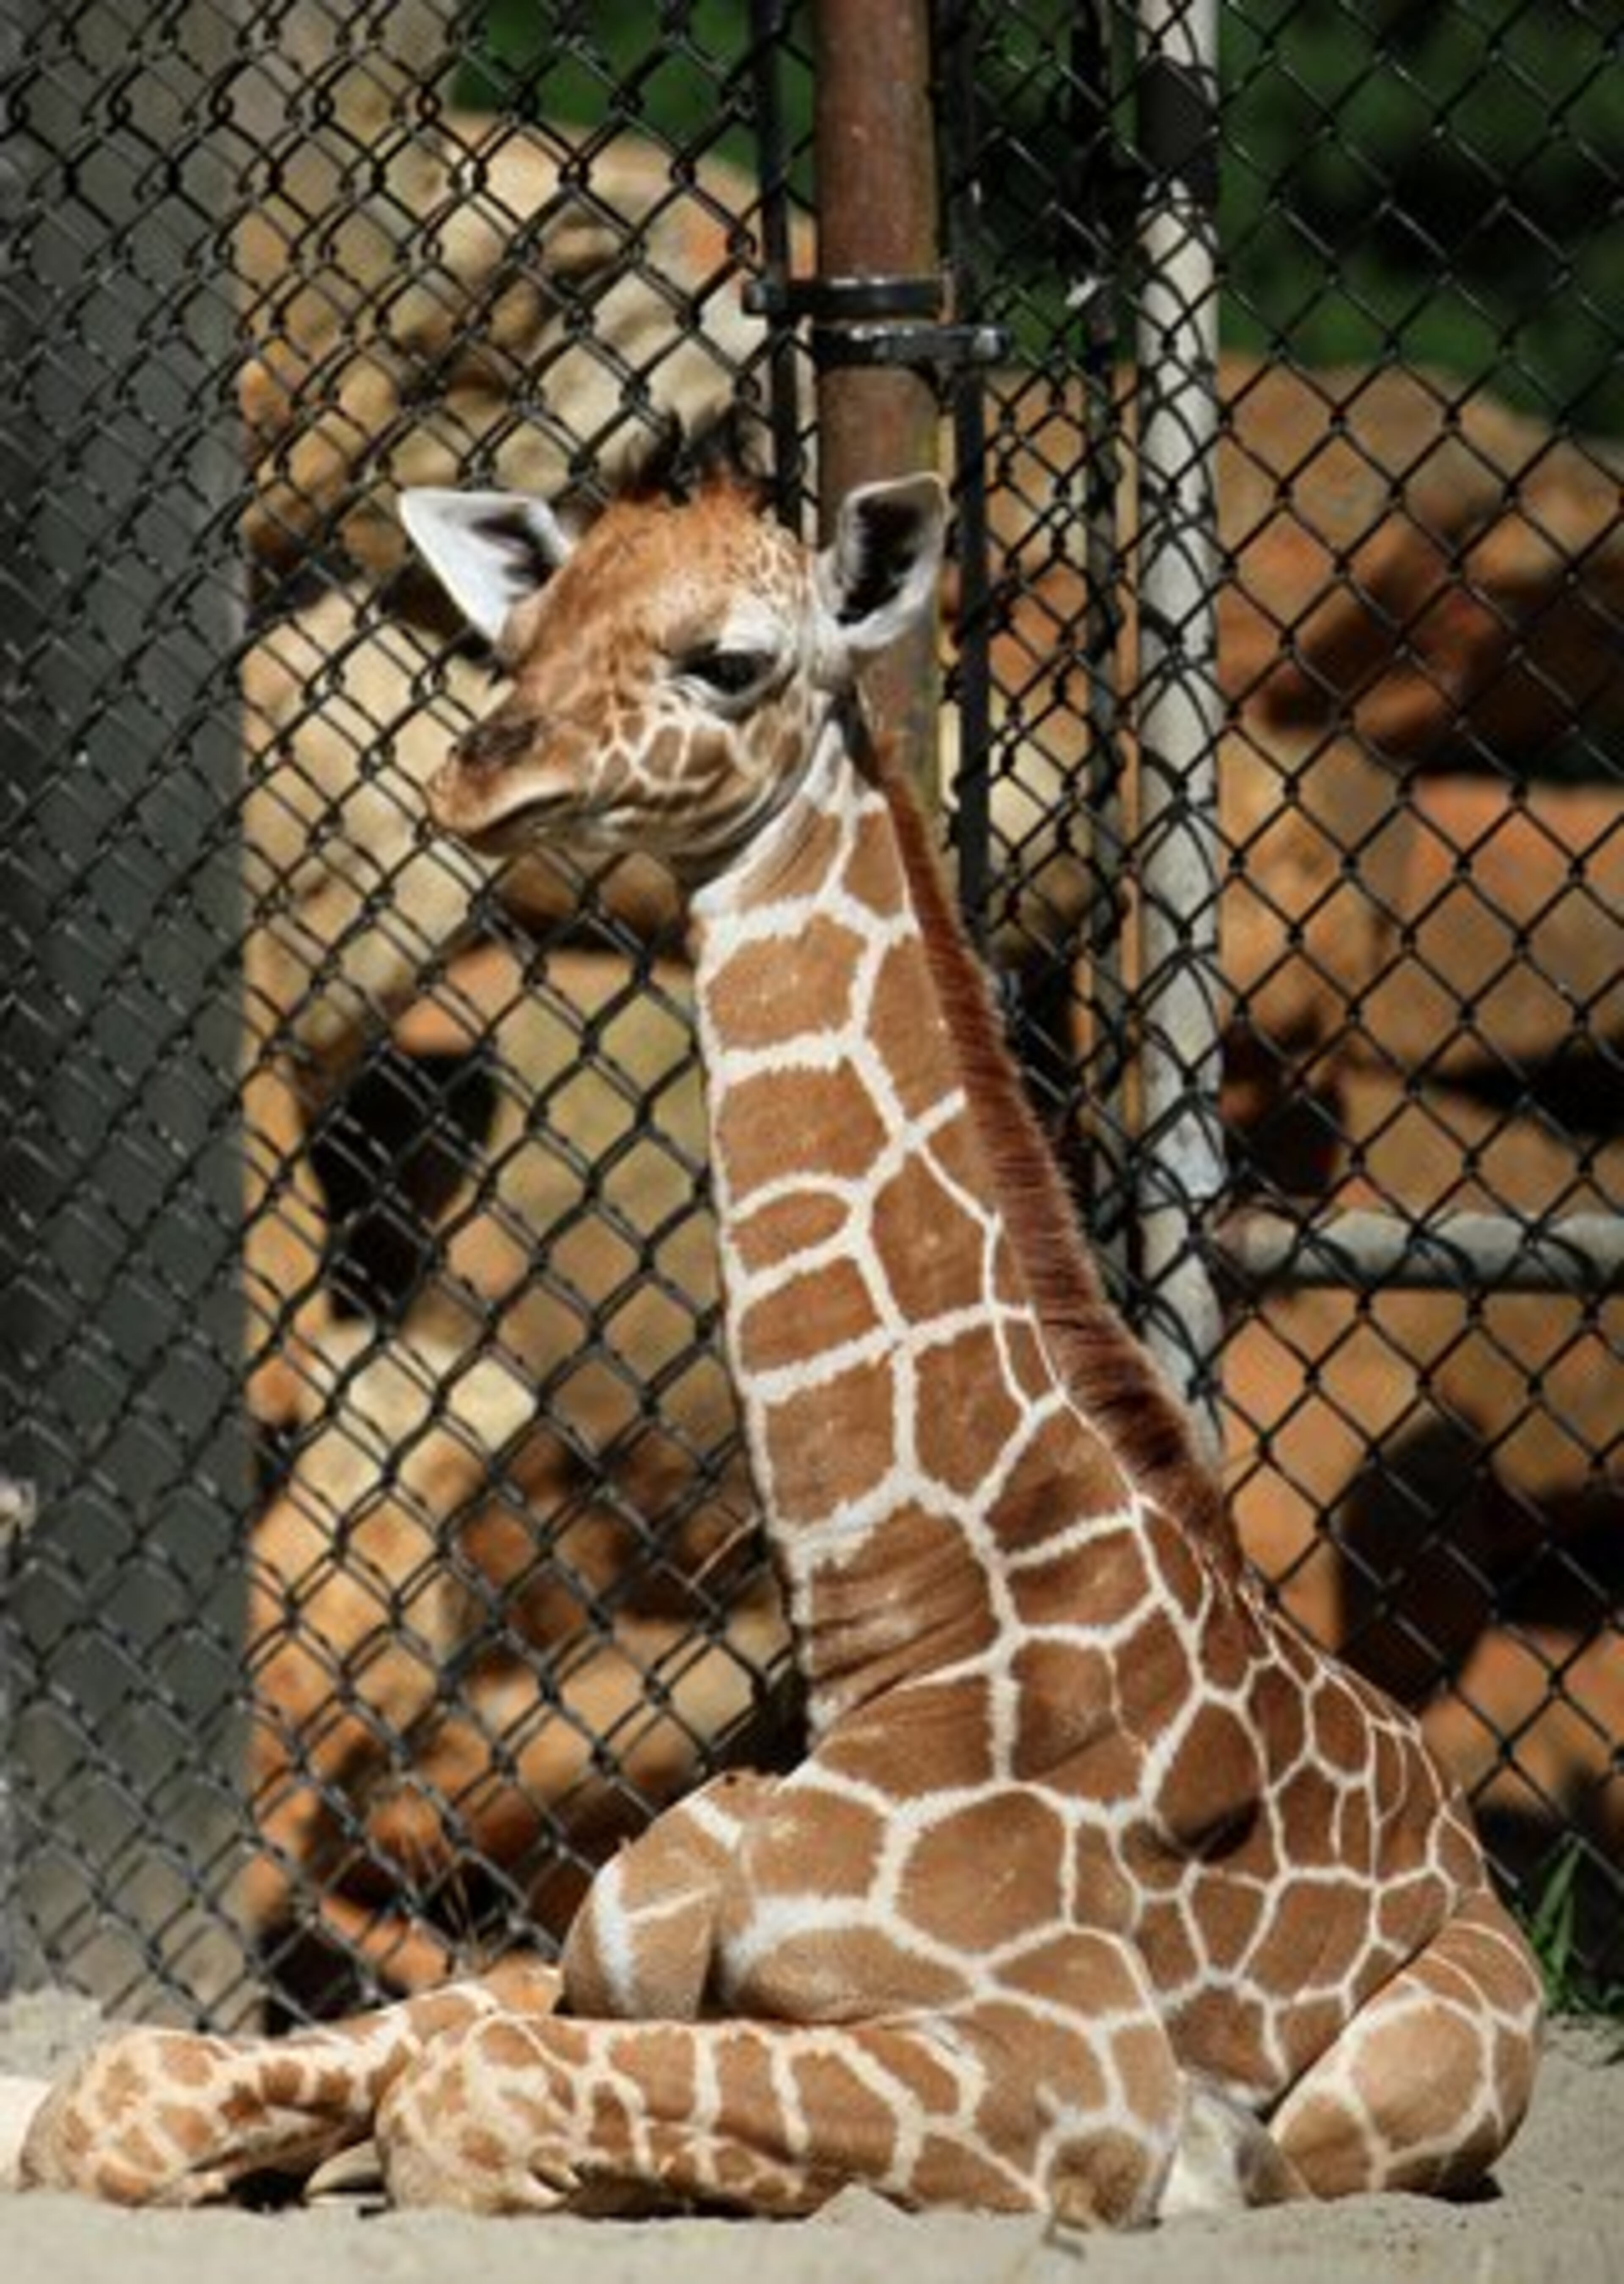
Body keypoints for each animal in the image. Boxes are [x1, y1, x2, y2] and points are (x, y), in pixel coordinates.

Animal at [14, 418, 1542, 2222]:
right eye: (520, 641)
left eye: (731, 660)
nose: (480, 776)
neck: (920, 1615)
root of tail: (1460, 1828)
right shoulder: (591, 1948)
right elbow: (117, 2091)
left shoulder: (1082, 2064)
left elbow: (471, 2098)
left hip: (1412, 2069)